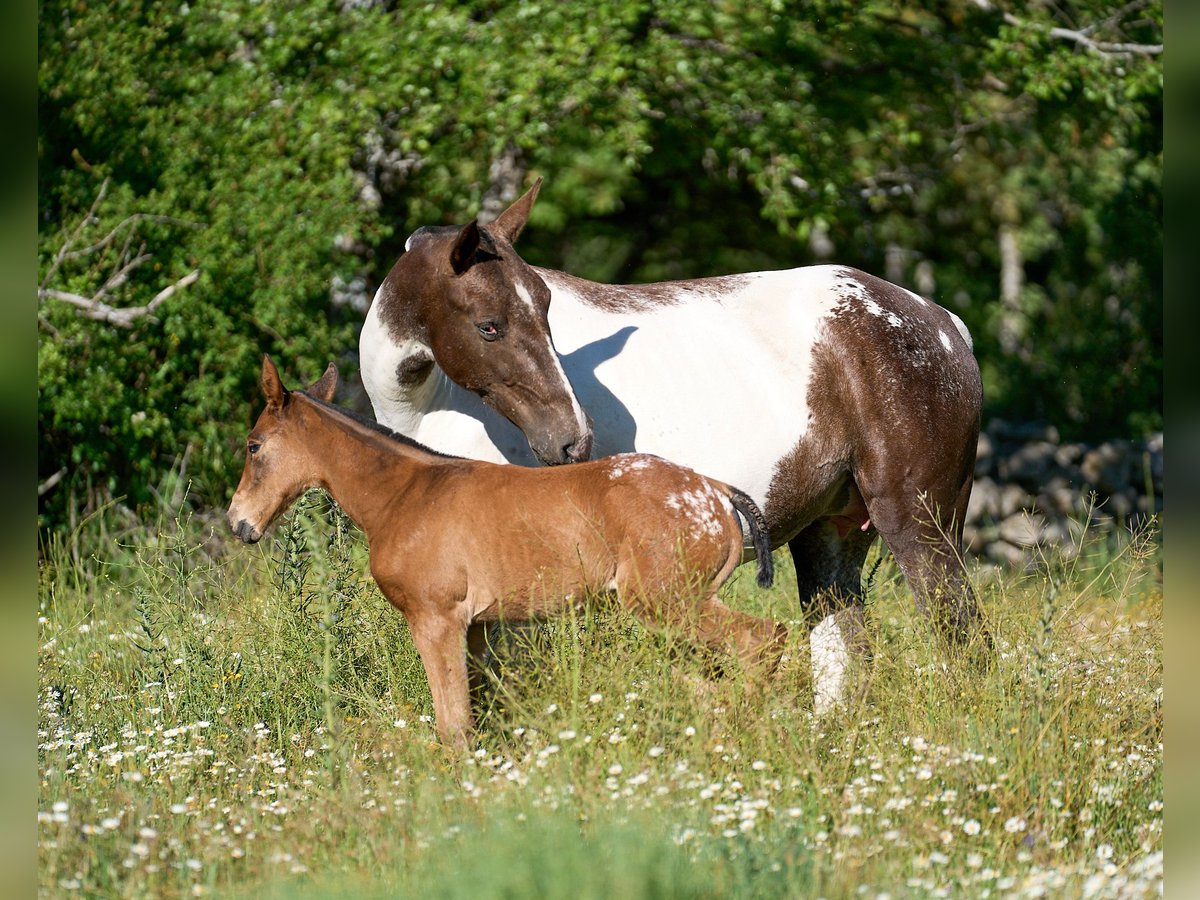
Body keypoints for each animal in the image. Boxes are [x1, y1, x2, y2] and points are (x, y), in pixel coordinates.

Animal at [226, 355, 787, 748]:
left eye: (254, 445)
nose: (238, 524)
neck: (405, 494)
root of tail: (715, 491)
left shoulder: (436, 619)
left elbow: (453, 726)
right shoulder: (477, 628)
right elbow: (479, 713)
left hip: (668, 603)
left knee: (761, 640)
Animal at [360, 177, 988, 710]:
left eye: (545, 308)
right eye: (489, 325)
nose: (570, 439)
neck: (432, 405)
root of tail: (944, 324)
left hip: (921, 526)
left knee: (963, 638)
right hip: (830, 538)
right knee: (844, 658)